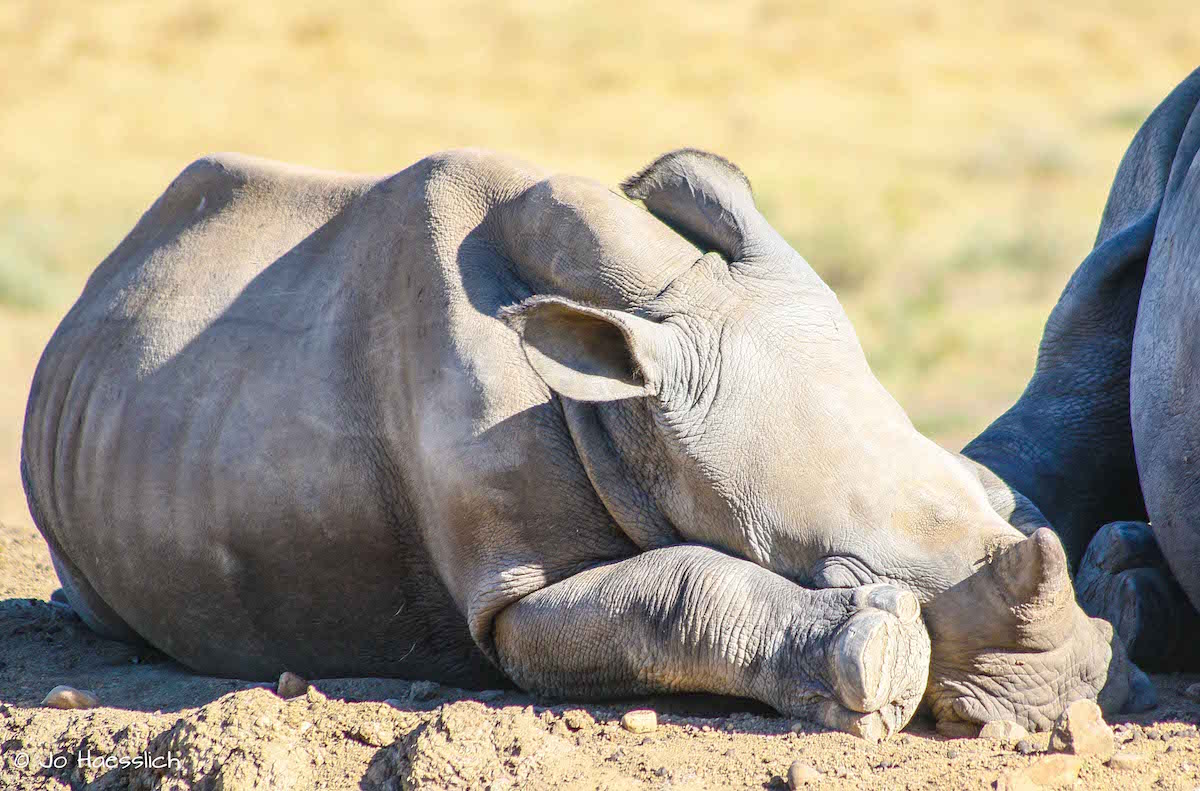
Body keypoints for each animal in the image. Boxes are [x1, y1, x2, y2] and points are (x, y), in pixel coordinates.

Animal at [18, 144, 1142, 744]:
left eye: (989, 495)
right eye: (842, 566)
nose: (1070, 686)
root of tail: (95, 287)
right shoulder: (510, 592)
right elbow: (681, 590)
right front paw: (879, 659)